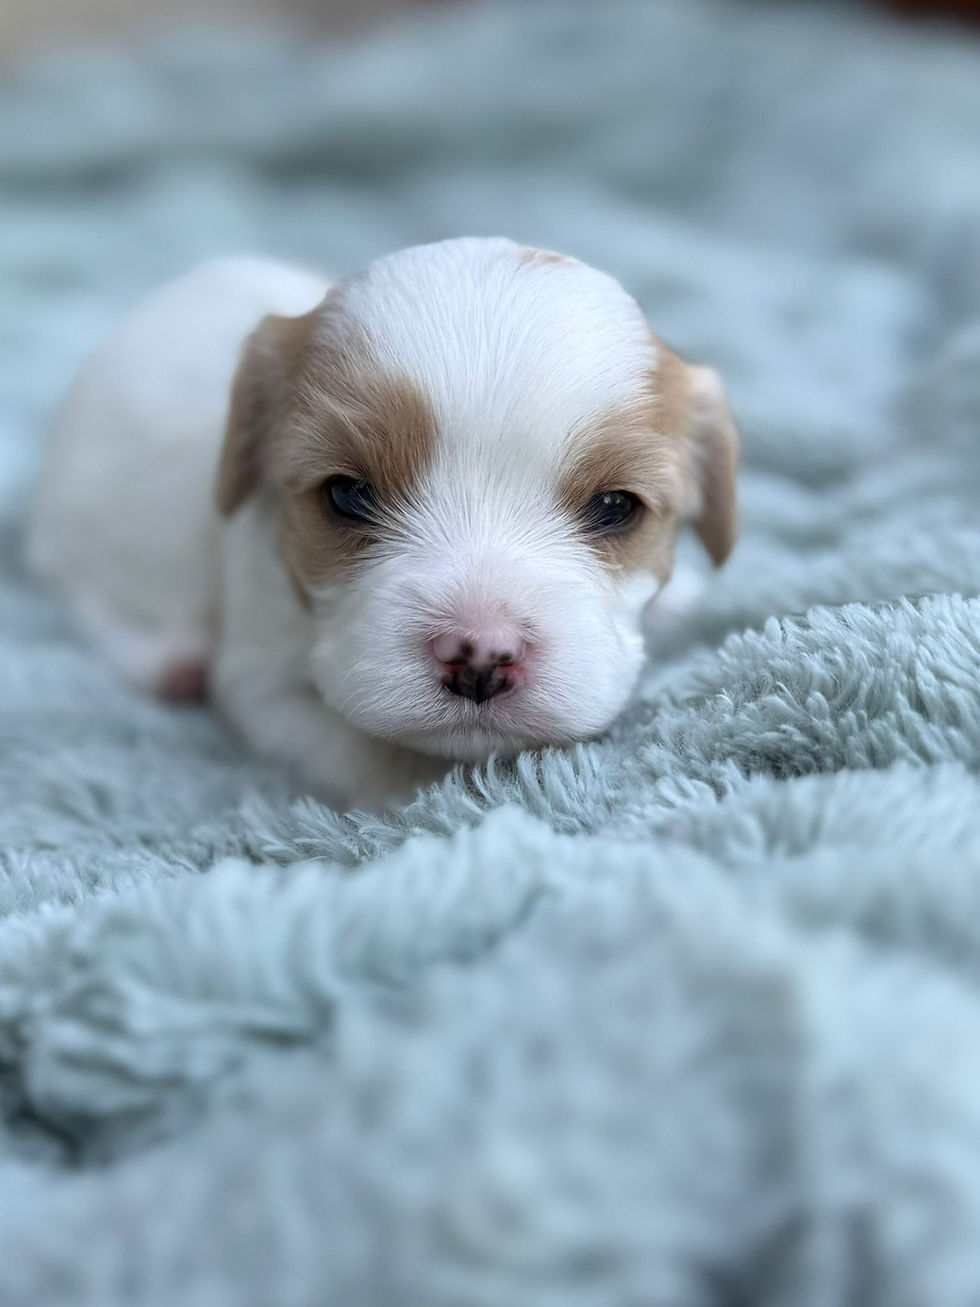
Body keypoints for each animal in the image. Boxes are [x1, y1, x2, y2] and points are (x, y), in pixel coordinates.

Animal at [29, 238, 738, 809]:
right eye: (347, 495)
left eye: (616, 507)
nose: (481, 654)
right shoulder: (260, 677)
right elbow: (367, 751)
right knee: (82, 592)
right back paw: (162, 660)